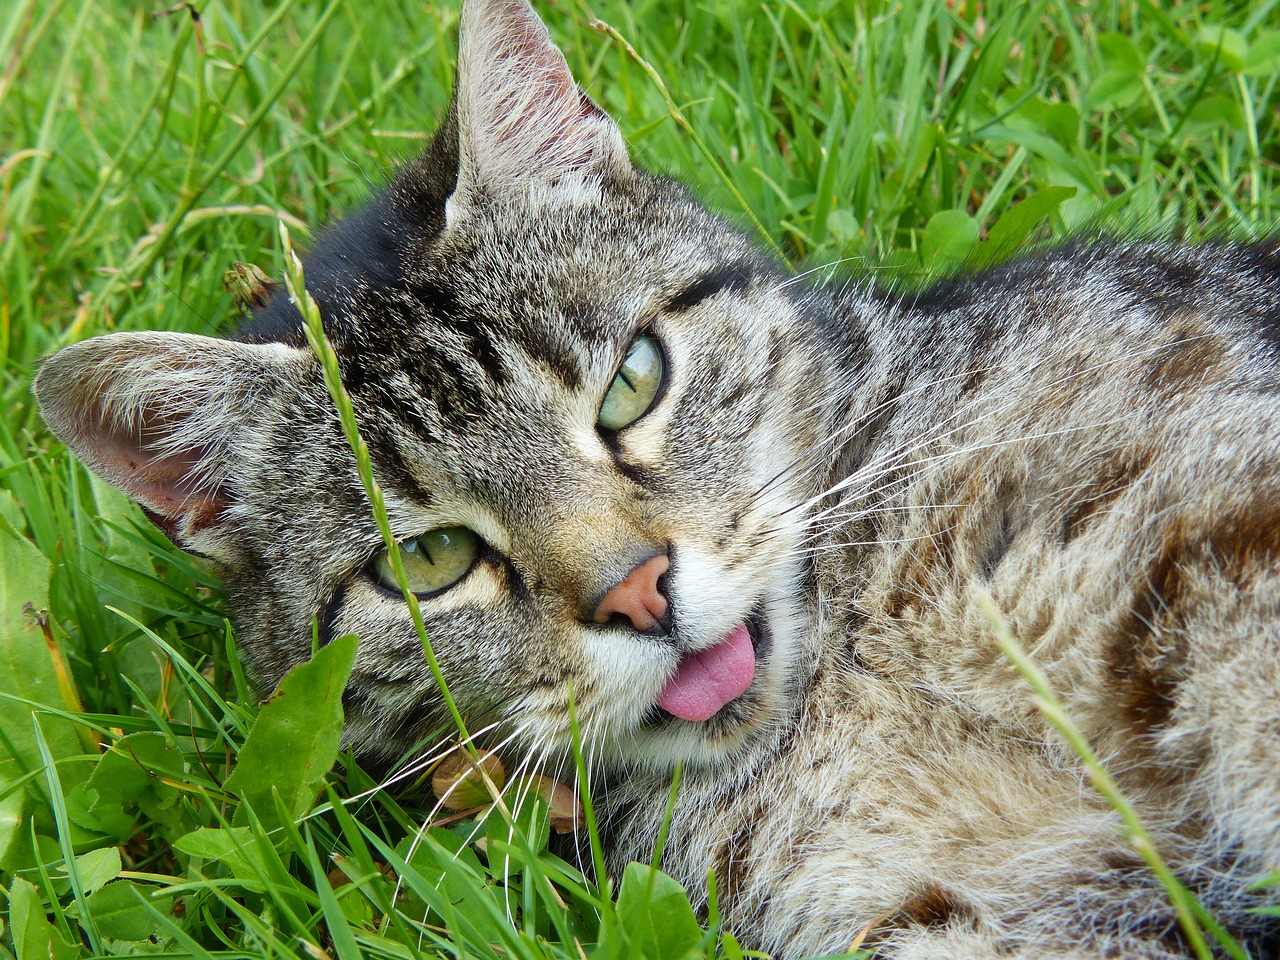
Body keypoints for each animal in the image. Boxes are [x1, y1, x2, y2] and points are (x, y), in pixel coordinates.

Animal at [27, 0, 1280, 957]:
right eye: (429, 561)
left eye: (631, 383)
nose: (638, 593)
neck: (849, 675)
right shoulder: (983, 914)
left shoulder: (1219, 547)